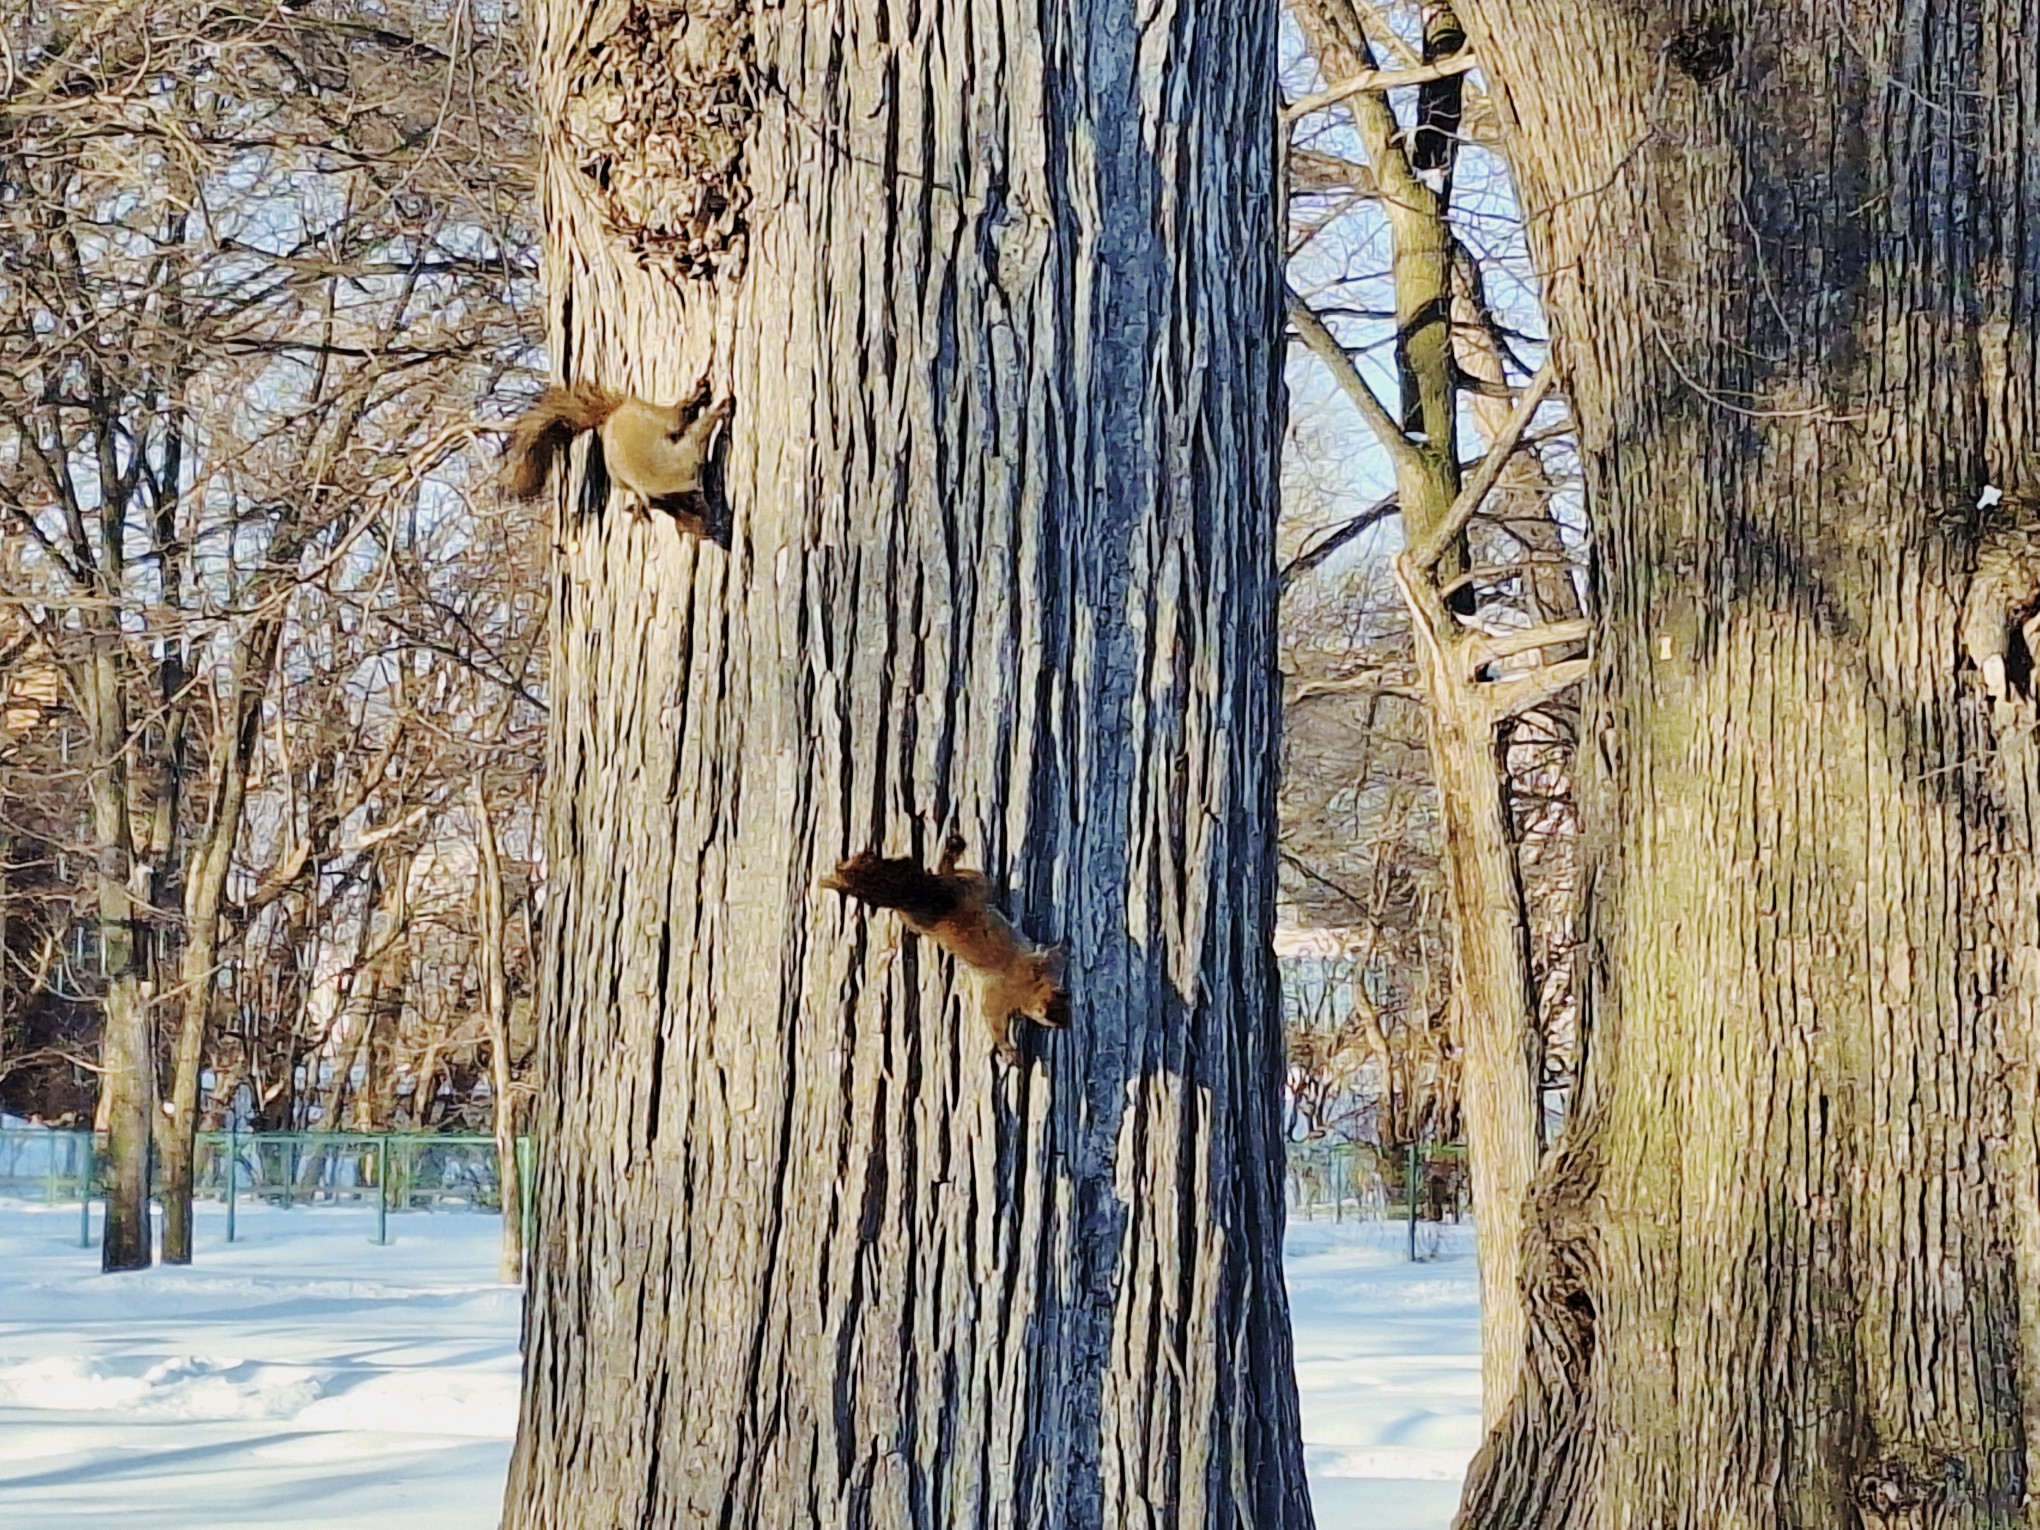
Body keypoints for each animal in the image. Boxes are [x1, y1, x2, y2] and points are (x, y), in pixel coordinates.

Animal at [503, 377, 734, 526]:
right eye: (691, 504)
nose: (707, 524)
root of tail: (615, 412)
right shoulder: (686, 456)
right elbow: (700, 431)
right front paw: (721, 409)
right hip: (654, 424)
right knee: (679, 414)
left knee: (678, 414)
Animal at [820, 832, 1077, 1068]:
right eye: (1053, 1018)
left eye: (1068, 1007)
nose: (1068, 1025)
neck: (1029, 987)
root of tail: (926, 897)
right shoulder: (1000, 994)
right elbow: (993, 1018)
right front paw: (1009, 1051)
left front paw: (1066, 948)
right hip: (973, 885)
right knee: (969, 878)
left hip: (926, 913)